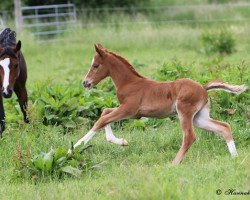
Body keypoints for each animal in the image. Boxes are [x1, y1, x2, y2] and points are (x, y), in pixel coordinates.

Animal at [70, 44, 246, 164]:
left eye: (95, 65)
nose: (85, 83)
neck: (130, 83)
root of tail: (203, 88)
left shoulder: (128, 110)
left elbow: (101, 120)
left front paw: (72, 149)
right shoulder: (133, 113)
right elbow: (105, 112)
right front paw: (122, 142)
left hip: (184, 112)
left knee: (189, 136)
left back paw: (174, 164)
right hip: (199, 117)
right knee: (223, 127)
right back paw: (235, 157)